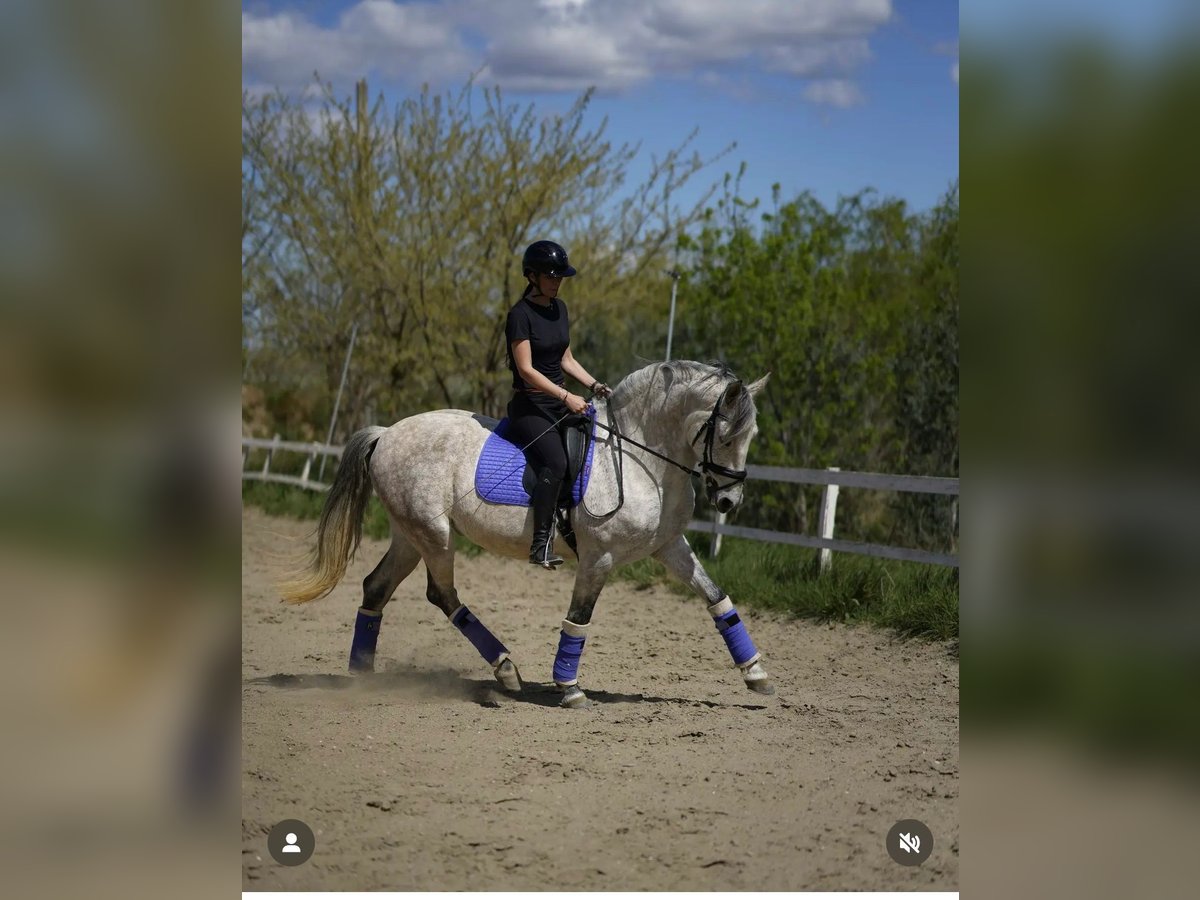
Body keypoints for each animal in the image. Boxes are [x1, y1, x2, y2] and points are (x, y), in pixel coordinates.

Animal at [280, 362, 772, 710]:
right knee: (441, 594)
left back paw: (363, 673)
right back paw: (505, 669)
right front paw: (569, 688)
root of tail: (386, 433)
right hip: (434, 534)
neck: (639, 457)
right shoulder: (599, 557)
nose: (728, 500)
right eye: (726, 437)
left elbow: (717, 599)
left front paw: (755, 674)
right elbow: (579, 618)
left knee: (377, 587)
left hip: (409, 535)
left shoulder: (669, 546)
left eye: (752, 434)